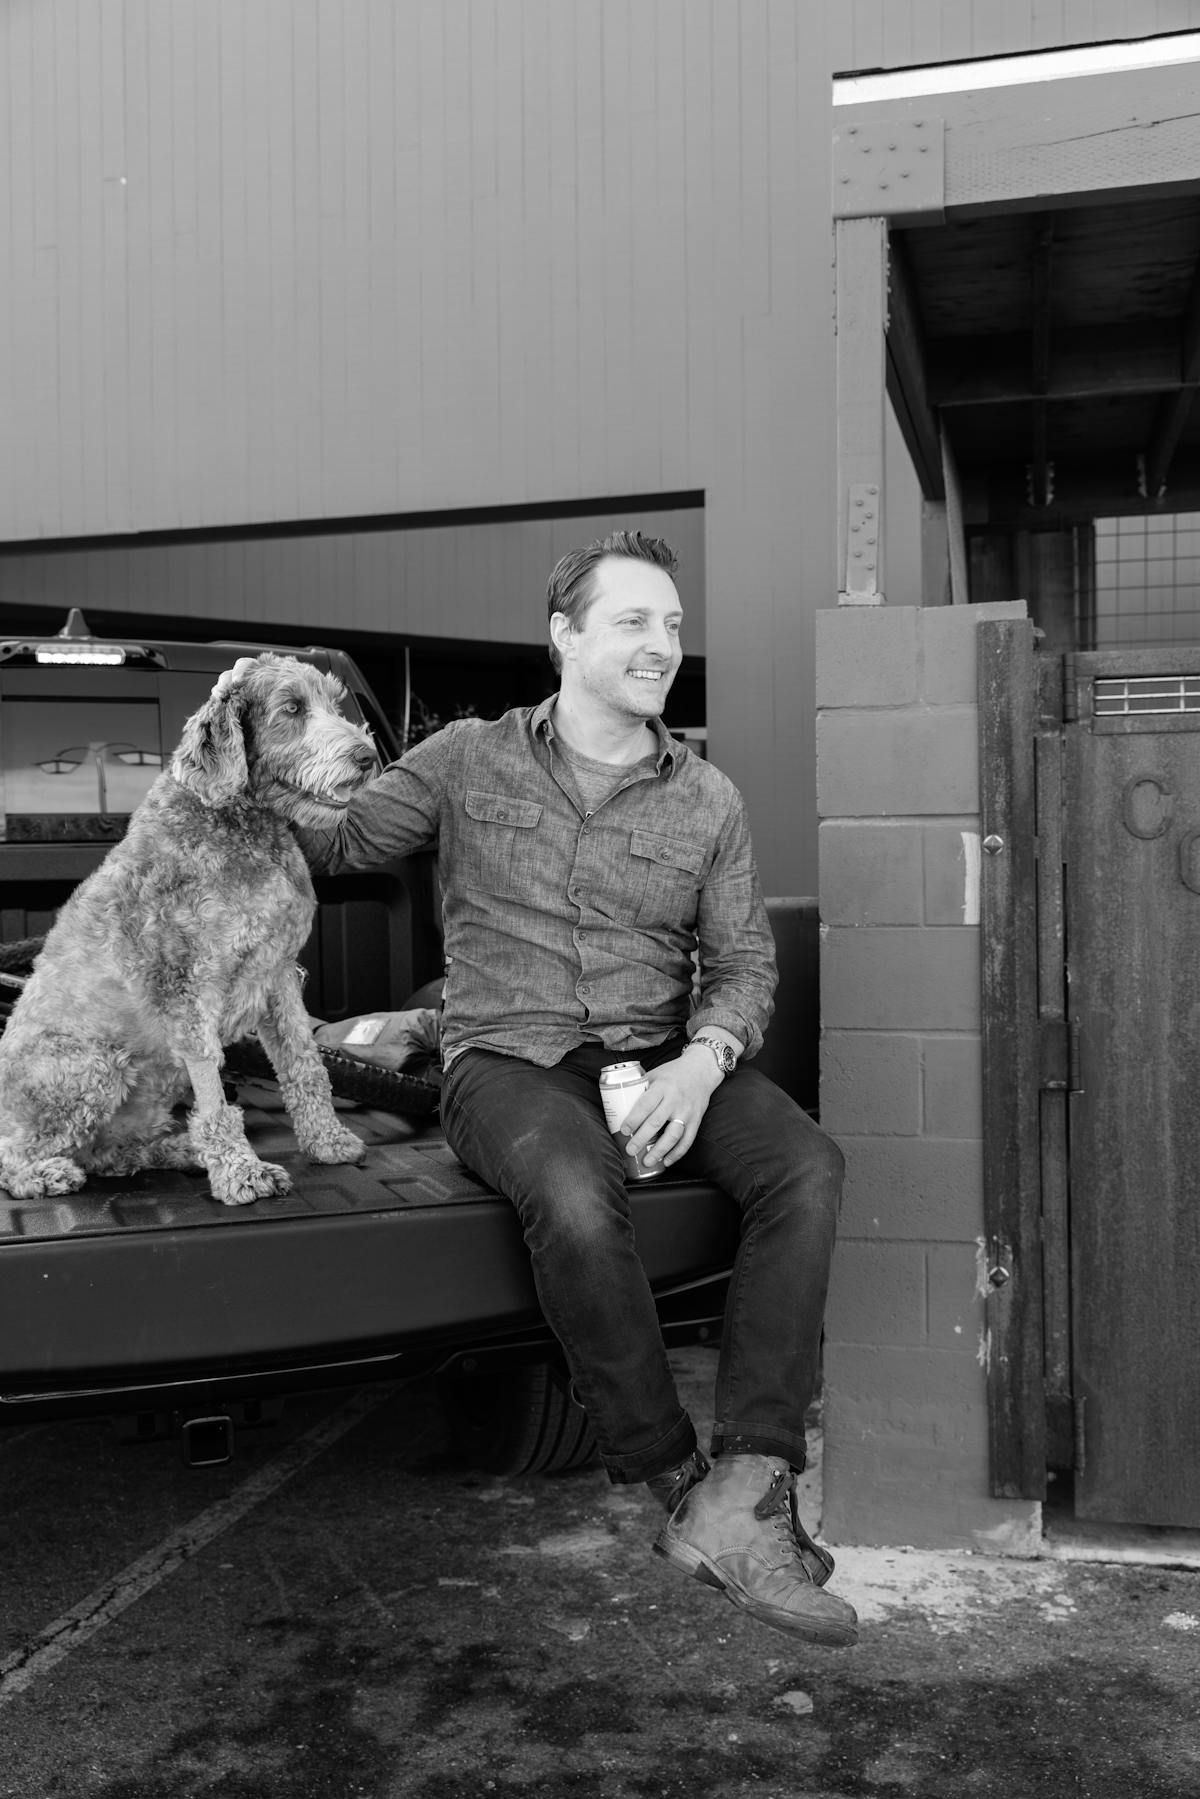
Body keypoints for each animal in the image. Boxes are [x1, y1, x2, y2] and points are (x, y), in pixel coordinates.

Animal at [0, 654, 379, 1201]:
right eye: (292, 708)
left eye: (335, 703)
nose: (368, 757)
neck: (244, 824)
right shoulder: (185, 984)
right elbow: (213, 1092)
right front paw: (242, 1172)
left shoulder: (278, 970)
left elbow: (303, 1060)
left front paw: (326, 1140)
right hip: (91, 1063)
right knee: (16, 1153)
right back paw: (45, 1174)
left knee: (107, 1155)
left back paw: (178, 1150)